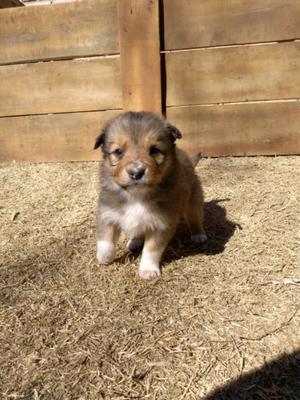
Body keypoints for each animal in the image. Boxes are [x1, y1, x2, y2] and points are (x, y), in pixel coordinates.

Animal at [94, 111, 206, 280]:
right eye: (118, 151)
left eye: (154, 150)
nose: (136, 172)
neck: (136, 196)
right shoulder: (107, 214)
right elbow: (105, 240)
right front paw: (104, 257)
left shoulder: (162, 224)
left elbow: (151, 249)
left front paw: (148, 270)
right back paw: (134, 241)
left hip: (193, 200)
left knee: (195, 217)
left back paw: (199, 235)